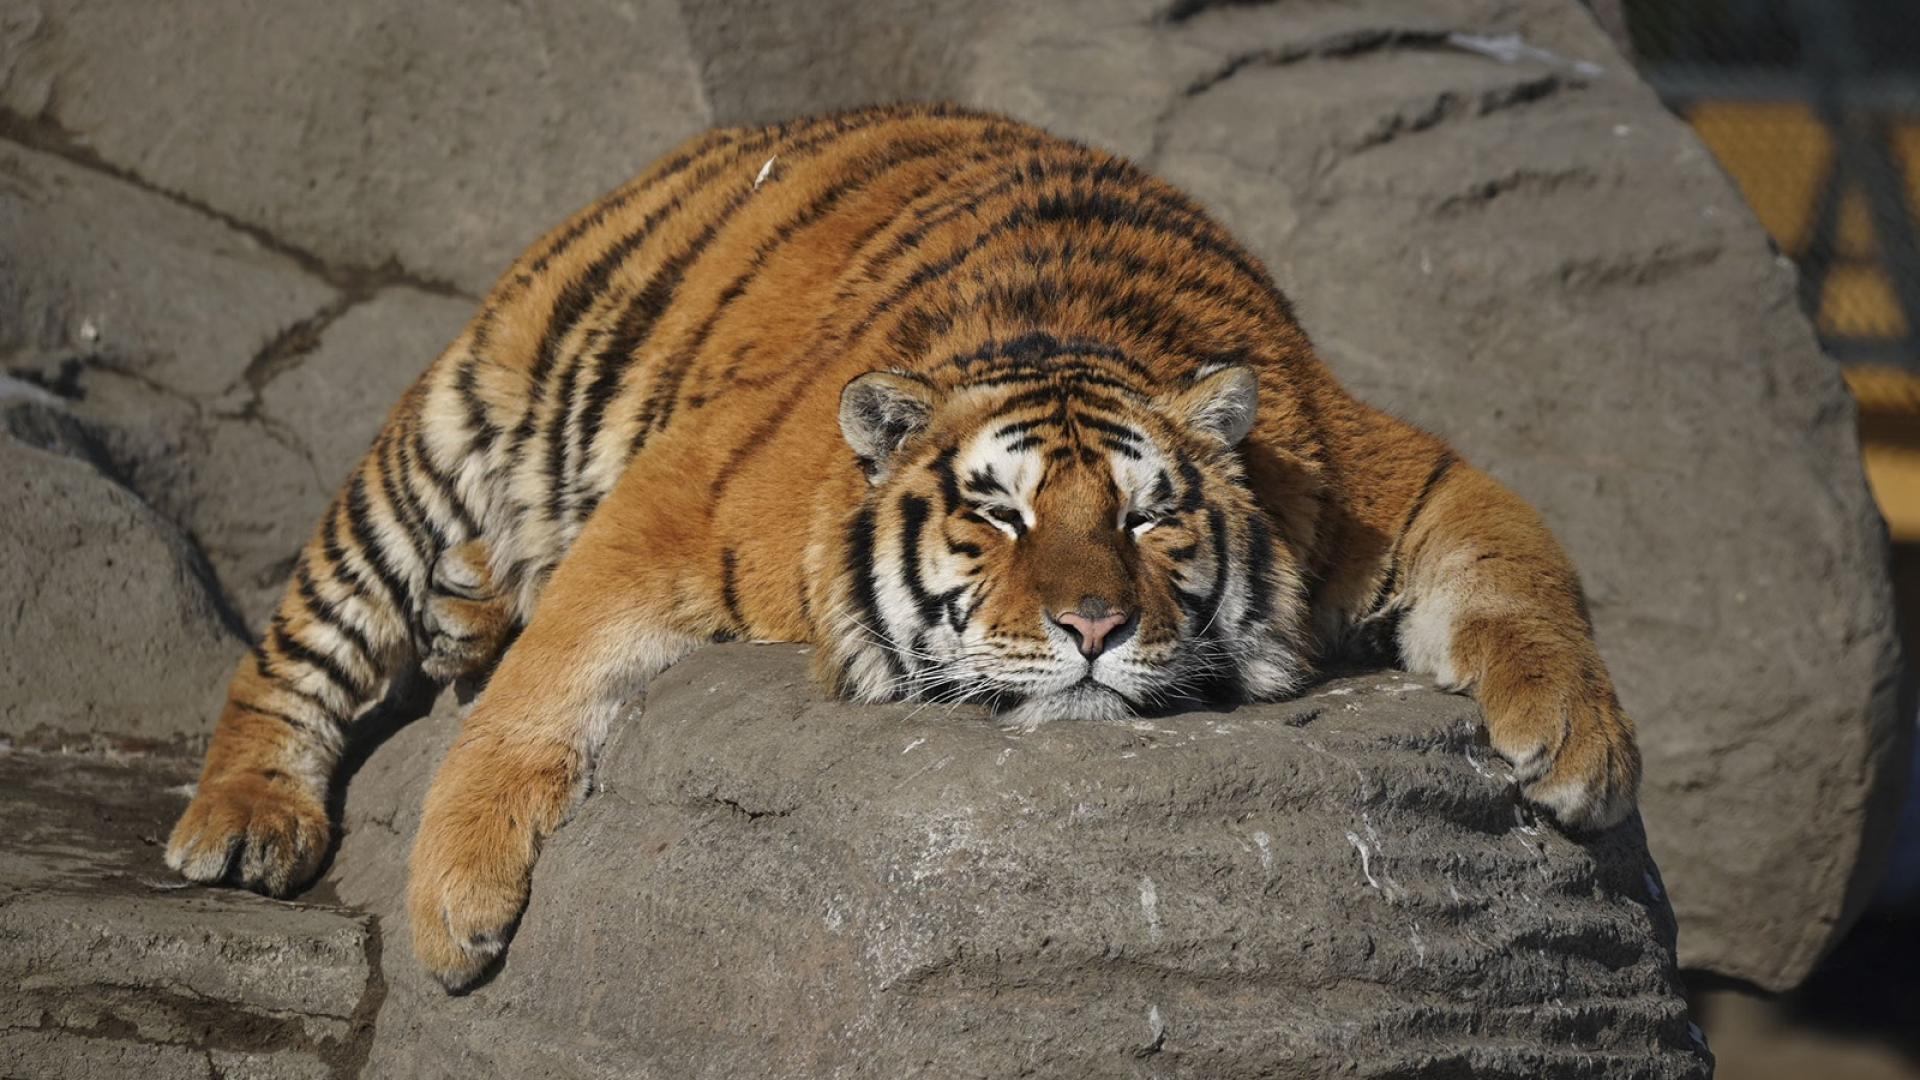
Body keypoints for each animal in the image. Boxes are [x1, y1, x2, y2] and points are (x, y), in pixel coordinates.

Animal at [163, 102, 1641, 990]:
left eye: (1148, 516)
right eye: (998, 514)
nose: (1095, 627)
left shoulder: (1397, 474)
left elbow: (1525, 576)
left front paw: (1583, 751)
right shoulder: (678, 497)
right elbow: (545, 683)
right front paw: (454, 902)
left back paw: (468, 611)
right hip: (454, 425)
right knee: (306, 636)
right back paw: (244, 822)